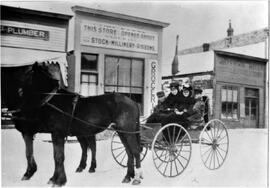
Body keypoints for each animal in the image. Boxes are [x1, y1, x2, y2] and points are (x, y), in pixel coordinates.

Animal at [2, 62, 142, 187]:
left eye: (26, 74)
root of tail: (133, 102)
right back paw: (128, 176)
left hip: (127, 131)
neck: (51, 100)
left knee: (135, 151)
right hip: (121, 132)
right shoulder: (46, 134)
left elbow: (58, 157)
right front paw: (52, 178)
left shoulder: (56, 134)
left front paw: (59, 181)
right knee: (128, 152)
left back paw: (137, 178)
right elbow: (47, 155)